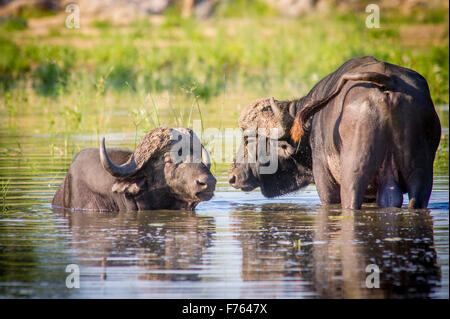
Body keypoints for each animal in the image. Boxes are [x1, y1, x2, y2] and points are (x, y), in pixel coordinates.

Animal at [230, 56, 442, 211]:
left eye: (248, 138)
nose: (232, 177)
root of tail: (387, 81)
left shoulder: (325, 183)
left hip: (353, 177)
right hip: (421, 176)